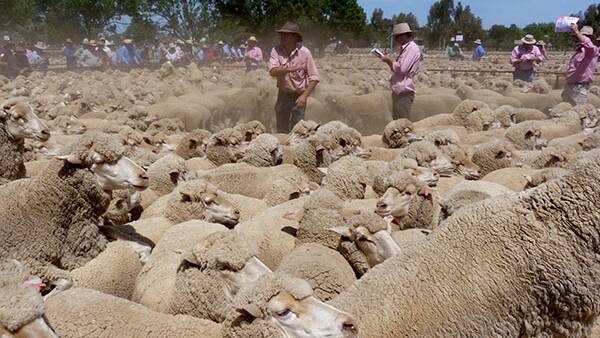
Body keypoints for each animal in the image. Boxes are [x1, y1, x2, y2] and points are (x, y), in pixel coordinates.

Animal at [0, 132, 149, 296]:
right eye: (99, 160)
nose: (144, 176)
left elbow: (135, 242)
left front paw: (143, 255)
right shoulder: (27, 258)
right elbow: (67, 281)